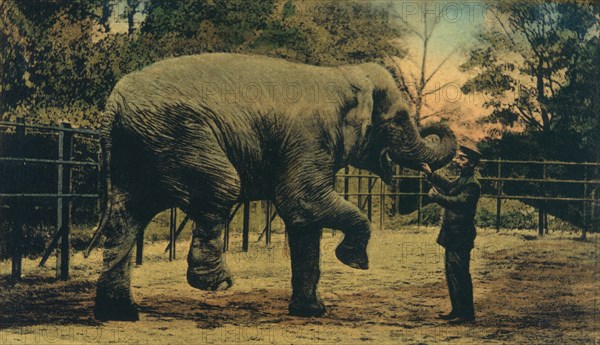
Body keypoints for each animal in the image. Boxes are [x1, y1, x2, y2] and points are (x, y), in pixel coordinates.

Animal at [94, 53, 458, 320]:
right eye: (399, 119)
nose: (436, 126)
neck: (342, 75)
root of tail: (114, 102)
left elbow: (305, 222)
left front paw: (312, 312)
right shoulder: (308, 138)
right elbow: (303, 202)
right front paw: (354, 261)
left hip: (141, 147)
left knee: (127, 217)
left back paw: (120, 314)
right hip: (179, 137)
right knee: (221, 187)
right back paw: (217, 284)